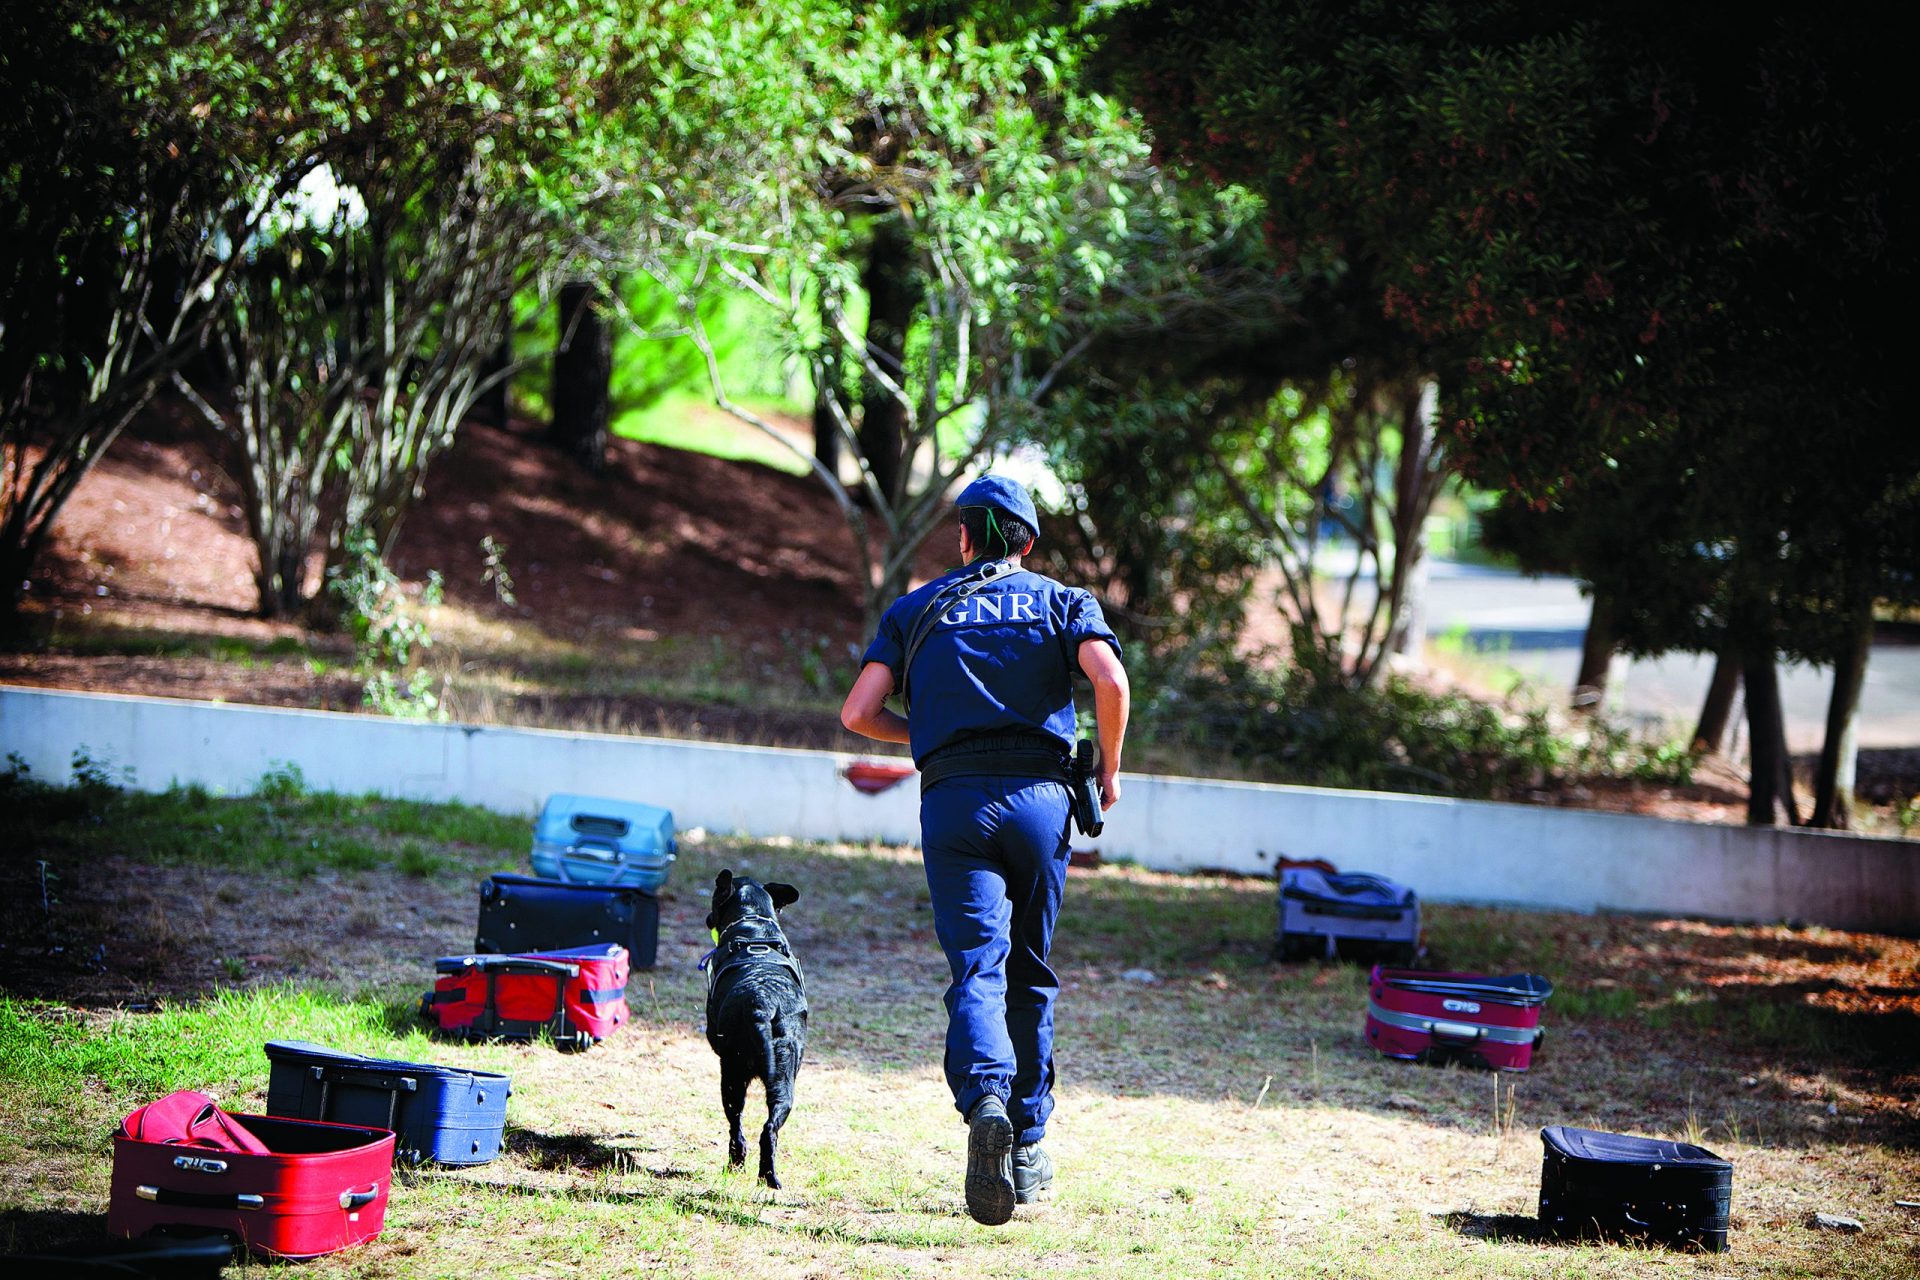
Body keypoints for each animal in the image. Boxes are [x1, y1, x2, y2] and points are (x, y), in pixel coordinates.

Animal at [702, 871, 806, 1189]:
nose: (708, 918)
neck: (753, 926)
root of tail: (764, 1004)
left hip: (732, 1076)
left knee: (736, 1124)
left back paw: (735, 1163)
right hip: (784, 1083)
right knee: (769, 1129)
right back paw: (768, 1177)